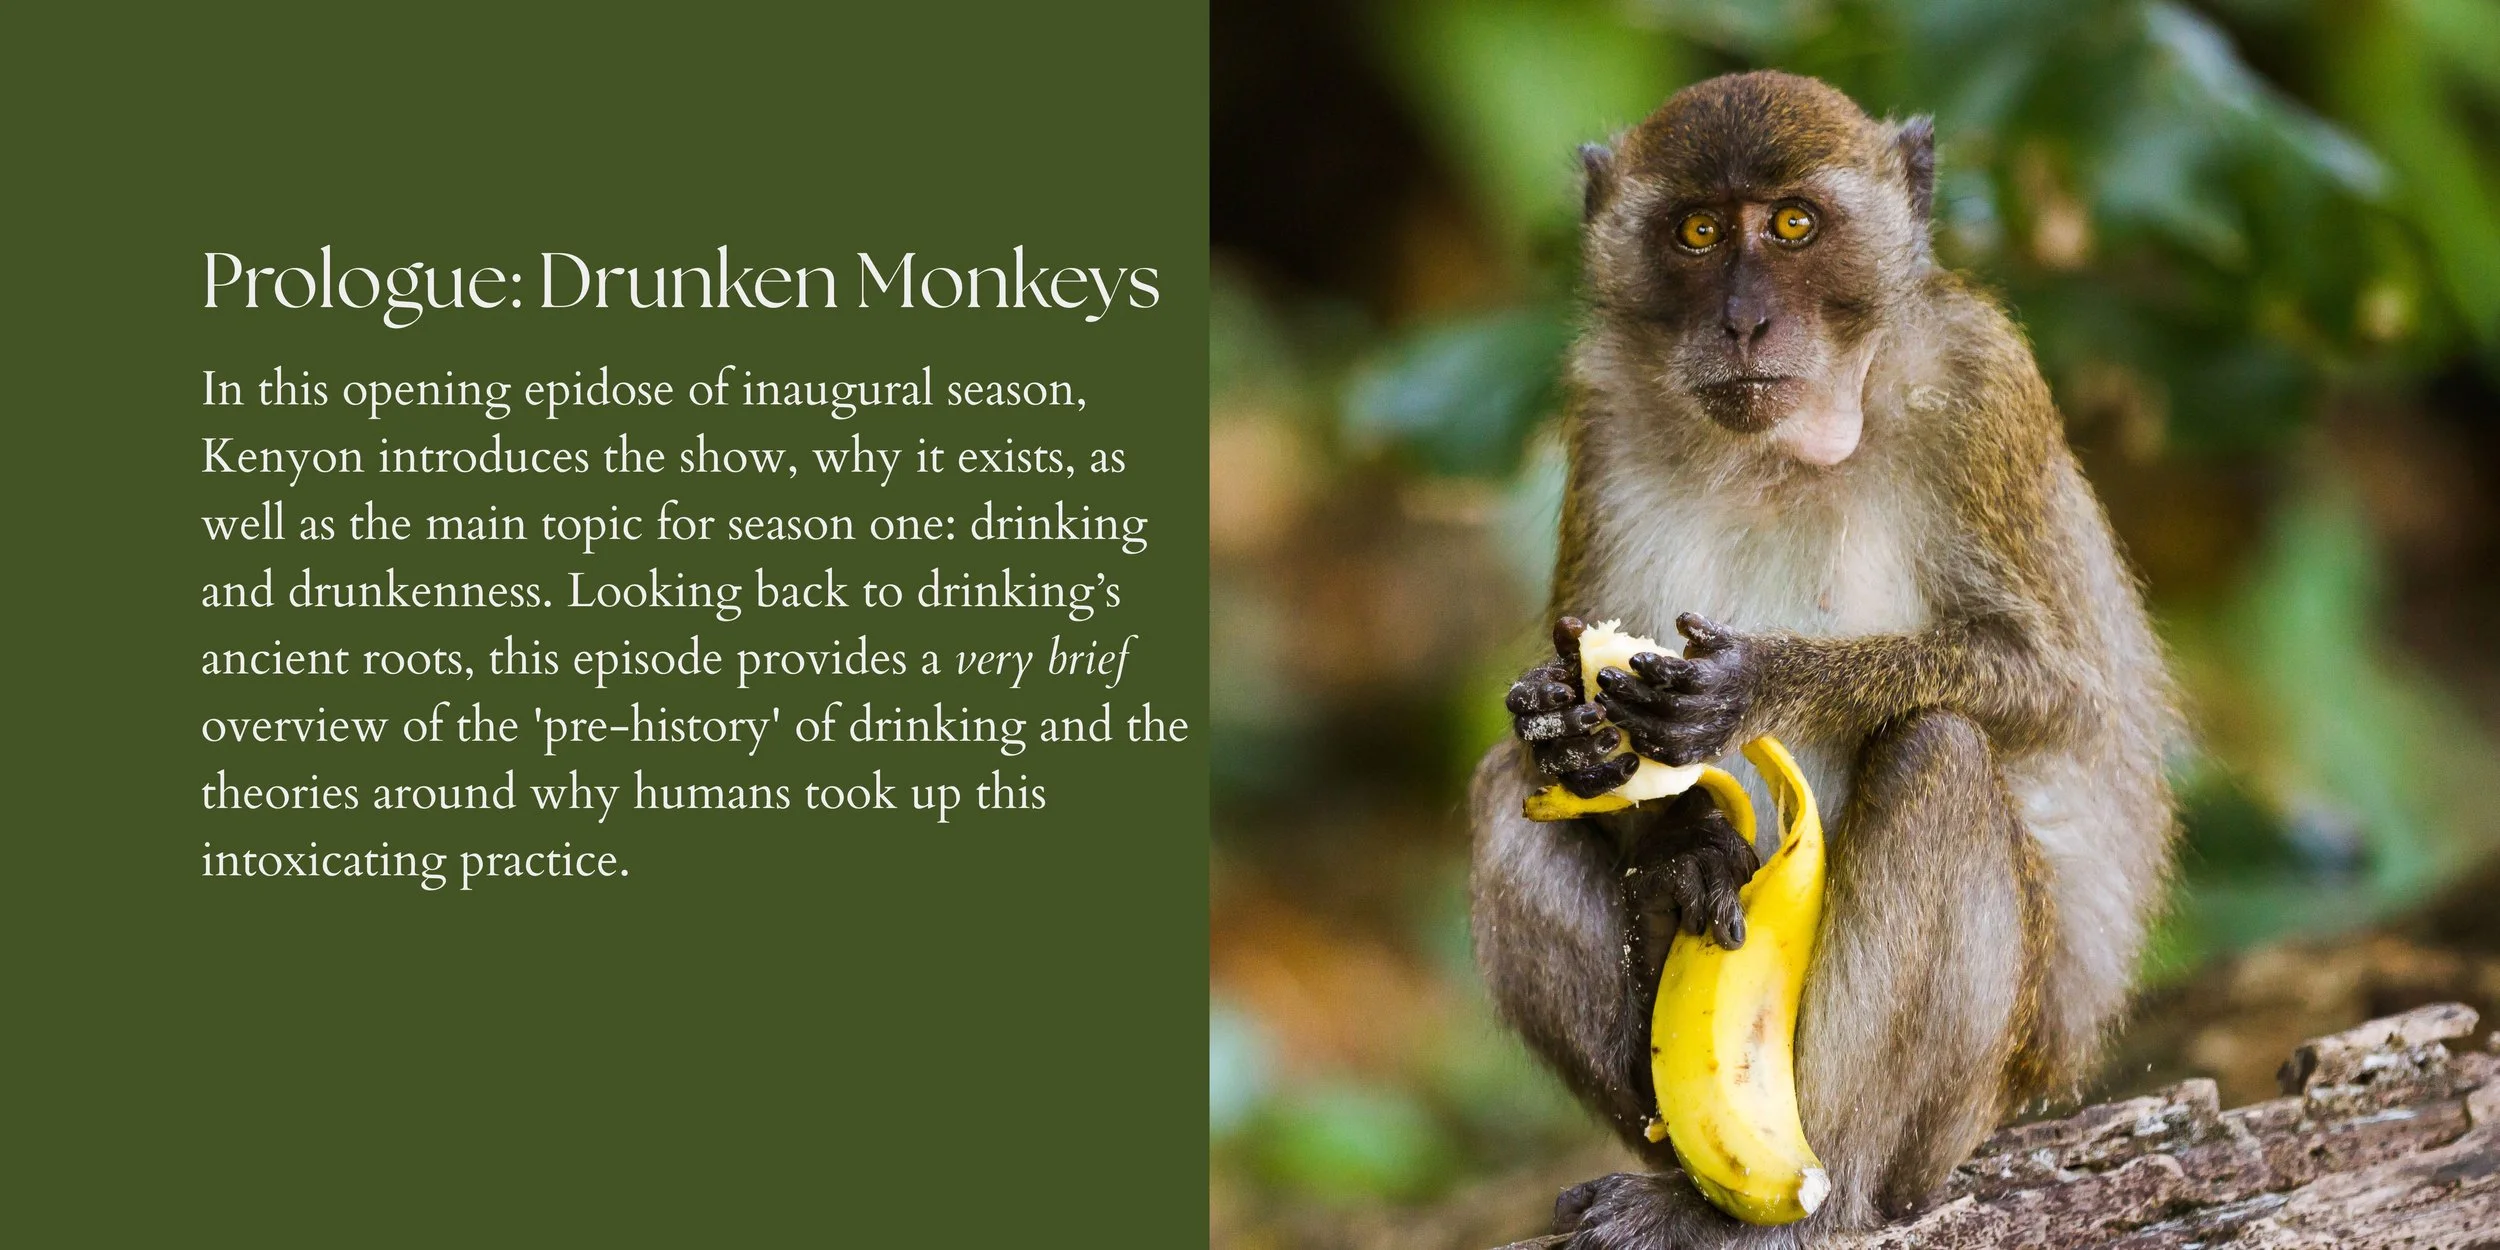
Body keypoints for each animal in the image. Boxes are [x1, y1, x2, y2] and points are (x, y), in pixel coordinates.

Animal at [1469, 71, 2180, 1249]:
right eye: (1700, 231)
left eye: (1795, 225)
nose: (1744, 318)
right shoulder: (1603, 413)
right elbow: (1565, 714)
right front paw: (1622, 778)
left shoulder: (1980, 383)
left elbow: (2061, 687)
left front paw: (1760, 682)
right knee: (1501, 795)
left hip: (1983, 1087)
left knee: (1941, 756)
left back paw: (1794, 1204)